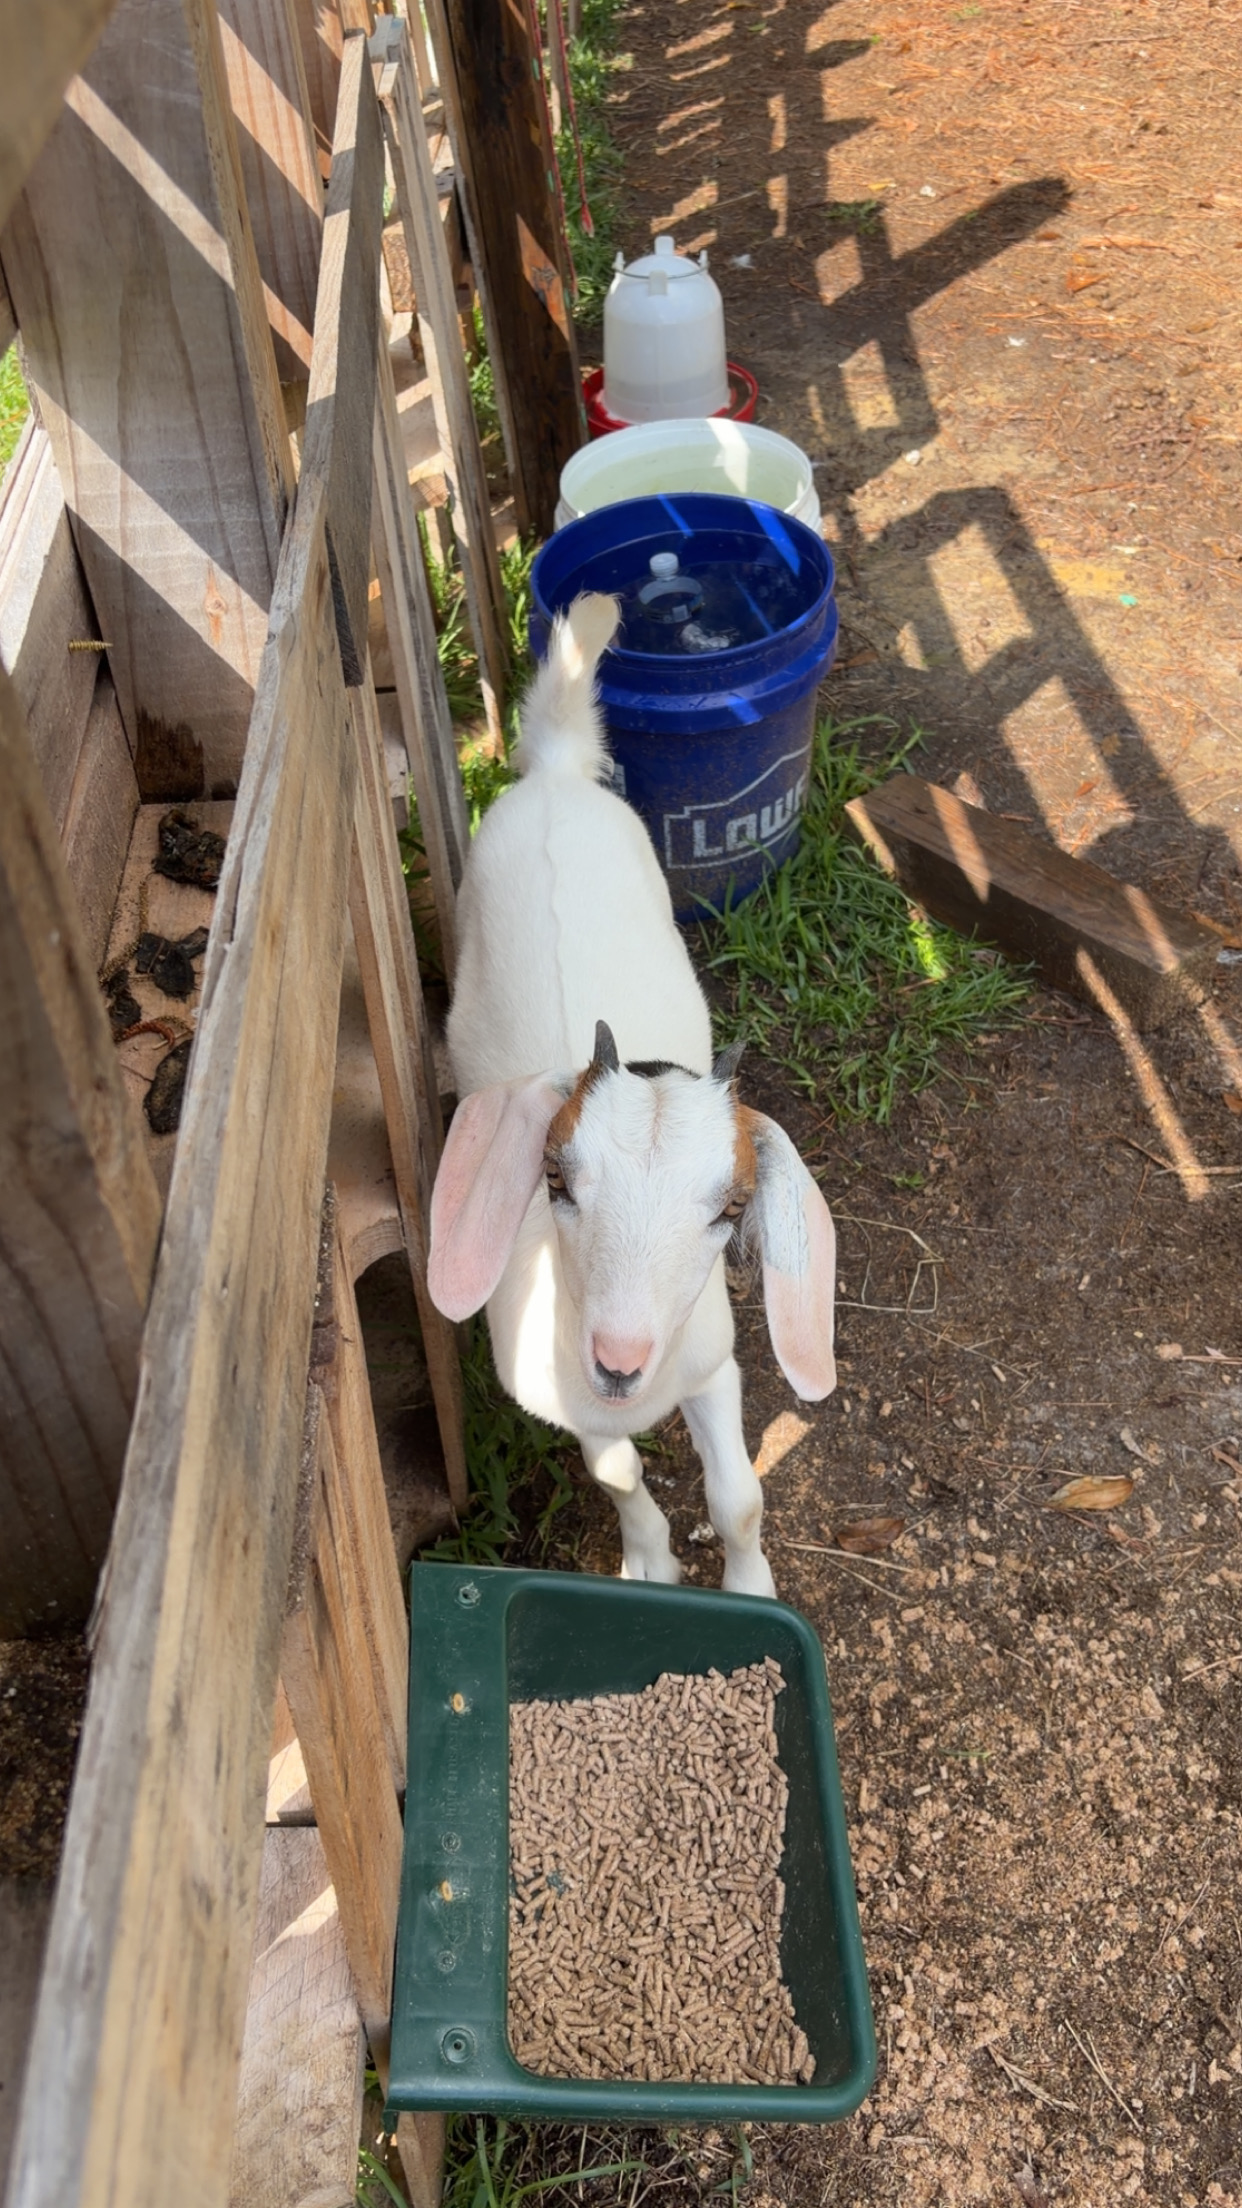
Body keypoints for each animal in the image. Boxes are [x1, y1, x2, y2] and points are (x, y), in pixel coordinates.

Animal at [427, 593, 838, 1598]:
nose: (619, 1362)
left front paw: (750, 1588)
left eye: (731, 1209)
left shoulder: (715, 1364)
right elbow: (619, 1478)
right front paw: (647, 1564)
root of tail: (557, 769)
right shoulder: (571, 1407)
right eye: (556, 1182)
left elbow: (740, 1499)